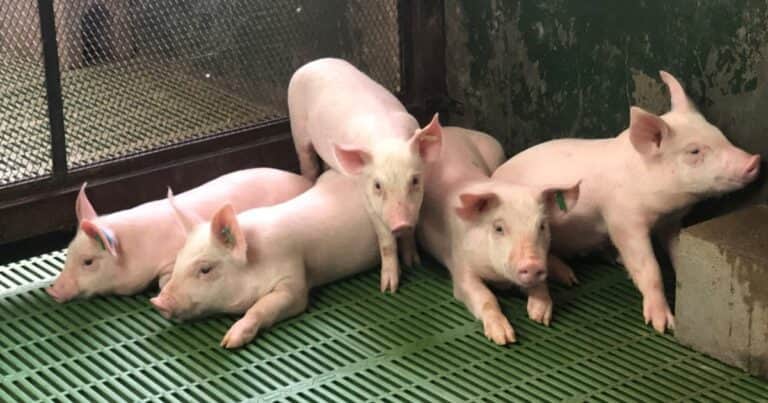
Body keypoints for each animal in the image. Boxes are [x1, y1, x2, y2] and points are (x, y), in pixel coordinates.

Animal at [151, 170, 380, 349]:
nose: (157, 301)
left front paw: (229, 342)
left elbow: (265, 306)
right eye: (178, 258)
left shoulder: (293, 279)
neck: (258, 258)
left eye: (205, 269)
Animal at [288, 58, 443, 293]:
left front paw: (414, 263)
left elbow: (410, 233)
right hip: (298, 129)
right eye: (377, 185)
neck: (386, 138)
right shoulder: (366, 196)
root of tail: (314, 62)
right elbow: (386, 241)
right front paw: (388, 289)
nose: (401, 223)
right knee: (307, 162)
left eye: (415, 180)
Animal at [417, 126, 580, 345]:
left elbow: (540, 285)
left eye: (542, 226)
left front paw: (539, 317)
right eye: (498, 228)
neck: (499, 279)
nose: (532, 264)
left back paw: (570, 278)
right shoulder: (461, 268)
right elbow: (485, 297)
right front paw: (504, 338)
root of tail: (452, 128)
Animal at [493, 71, 761, 333]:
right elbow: (650, 268)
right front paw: (663, 325)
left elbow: (677, 253)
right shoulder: (623, 219)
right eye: (694, 151)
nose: (755, 160)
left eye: (720, 135)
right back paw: (567, 282)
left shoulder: (670, 222)